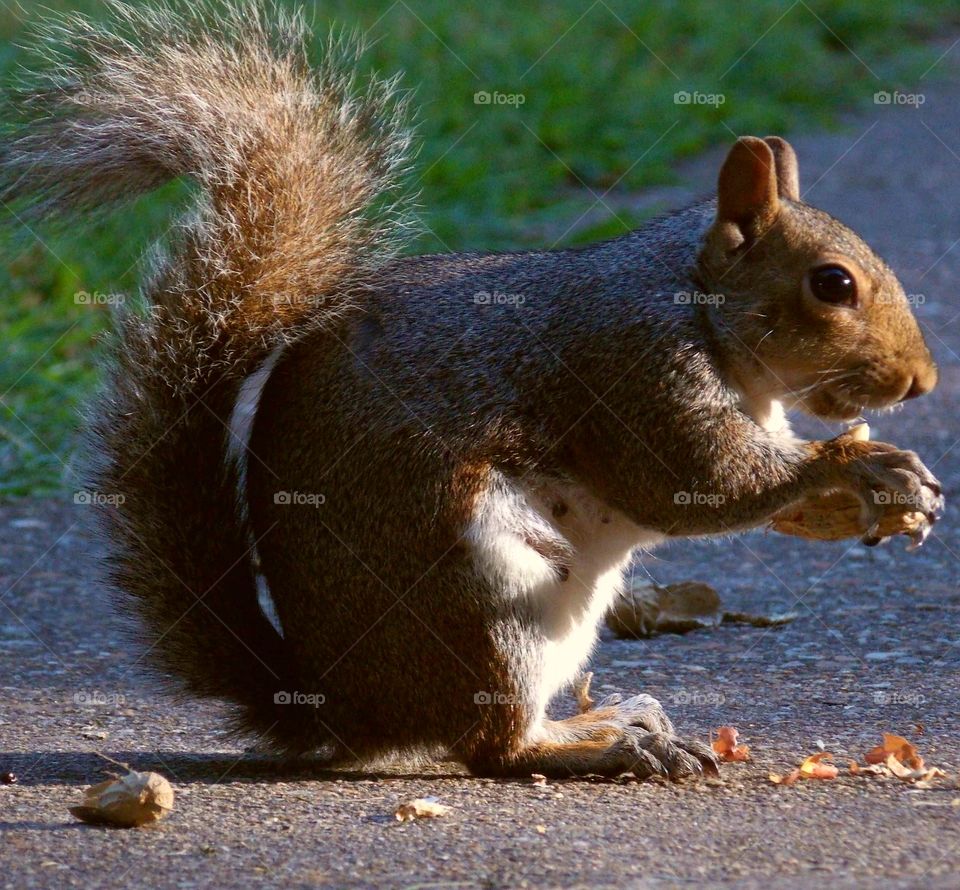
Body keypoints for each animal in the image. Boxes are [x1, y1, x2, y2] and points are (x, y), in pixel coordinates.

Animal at [0, 0, 940, 776]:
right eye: (833, 284)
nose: (923, 382)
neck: (702, 311)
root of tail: (346, 708)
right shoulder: (635, 371)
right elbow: (697, 485)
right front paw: (861, 468)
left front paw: (875, 498)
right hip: (486, 604)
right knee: (492, 746)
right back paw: (604, 750)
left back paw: (604, 723)